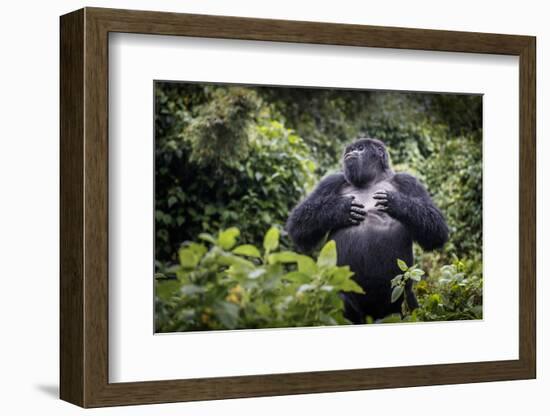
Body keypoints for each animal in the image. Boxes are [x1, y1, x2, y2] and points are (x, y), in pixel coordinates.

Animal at [286, 138, 450, 324]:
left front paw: (396, 202)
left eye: (360, 148)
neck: (373, 180)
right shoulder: (331, 181)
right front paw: (340, 208)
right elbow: (299, 224)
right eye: (350, 150)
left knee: (406, 303)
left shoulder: (409, 181)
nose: (351, 153)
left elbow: (435, 228)